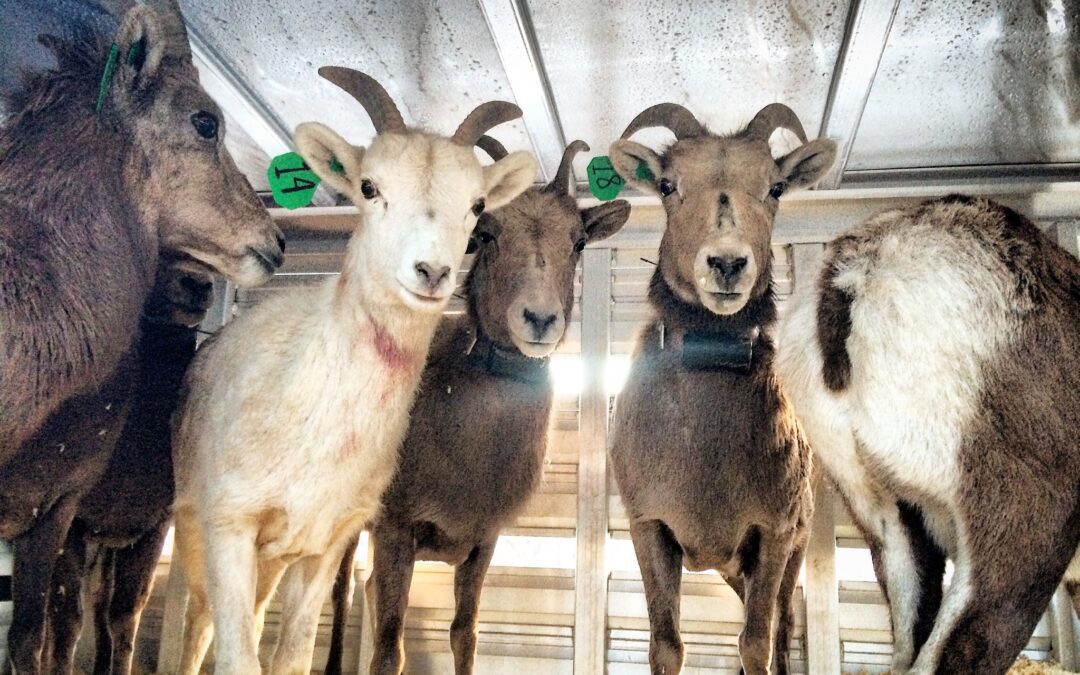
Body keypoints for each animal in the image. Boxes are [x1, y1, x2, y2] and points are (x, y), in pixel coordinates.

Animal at [170, 67, 537, 675]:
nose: (431, 271)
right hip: (188, 535)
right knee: (194, 627)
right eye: (369, 187)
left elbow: (291, 657)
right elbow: (237, 658)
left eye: (477, 204)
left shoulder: (326, 545)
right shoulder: (229, 526)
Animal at [321, 137, 631, 675]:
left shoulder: (483, 541)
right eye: (486, 234)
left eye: (578, 242)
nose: (539, 319)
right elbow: (389, 648)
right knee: (339, 593)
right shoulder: (396, 529)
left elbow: (464, 634)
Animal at [606, 102, 837, 675]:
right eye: (668, 184)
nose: (727, 264)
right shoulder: (650, 529)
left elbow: (755, 643)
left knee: (784, 624)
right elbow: (667, 646)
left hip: (790, 554)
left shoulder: (774, 533)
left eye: (775, 187)